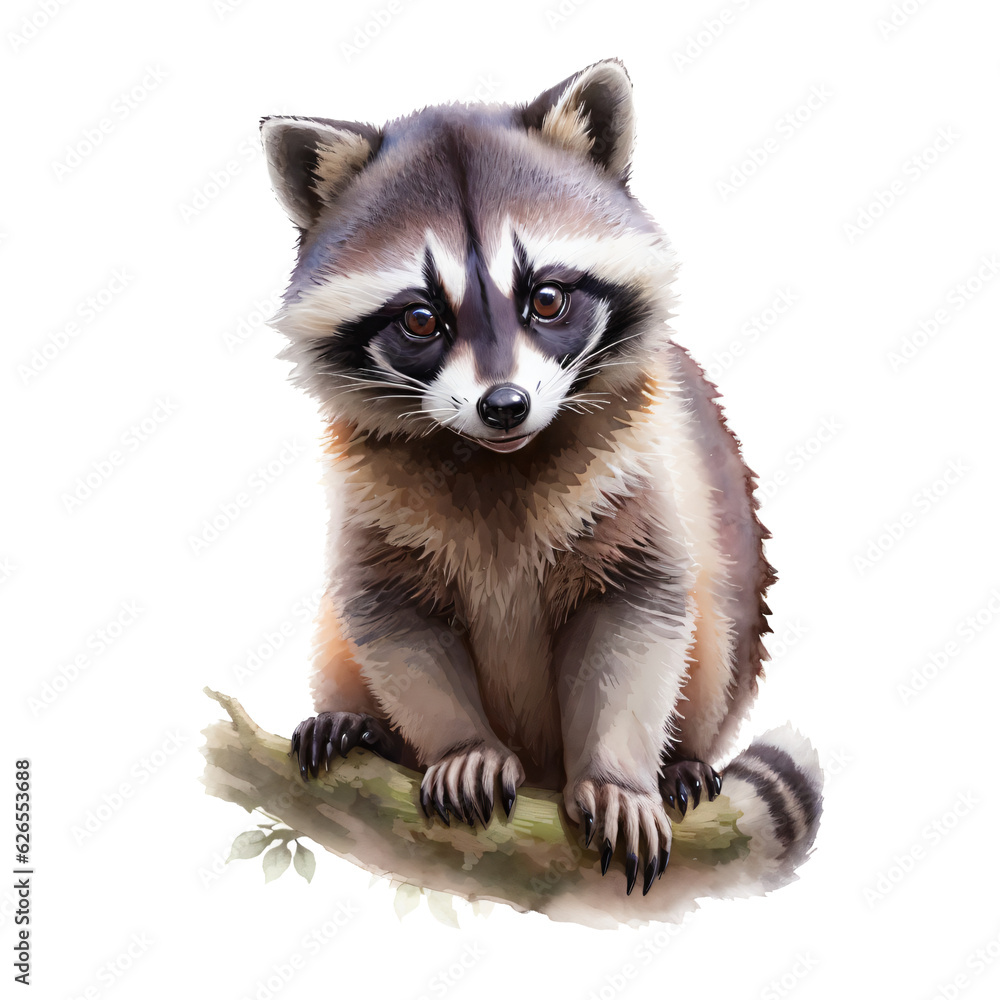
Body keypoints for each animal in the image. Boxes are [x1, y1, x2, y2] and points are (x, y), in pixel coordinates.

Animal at [261, 58, 821, 900]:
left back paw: (683, 762)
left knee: (716, 616)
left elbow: (639, 619)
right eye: (421, 319)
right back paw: (358, 724)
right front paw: (458, 746)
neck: (495, 458)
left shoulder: (644, 471)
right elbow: (393, 623)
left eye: (548, 298)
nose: (504, 406)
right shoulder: (372, 498)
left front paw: (619, 777)